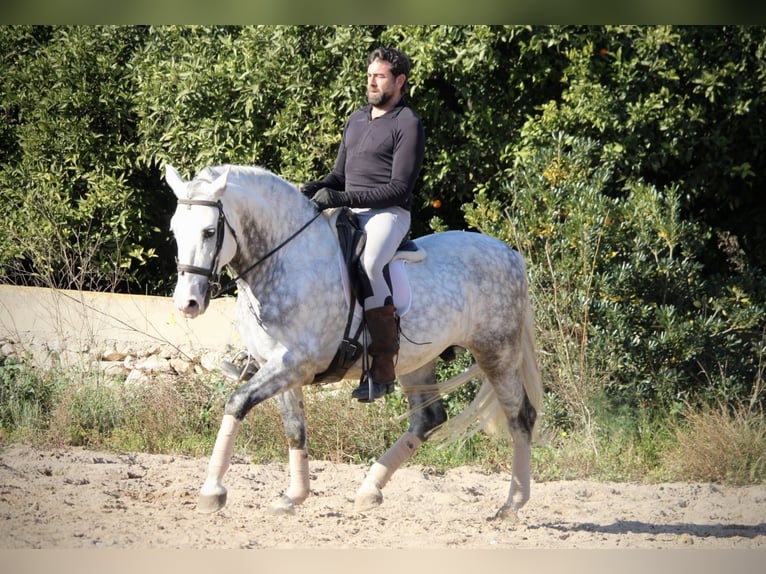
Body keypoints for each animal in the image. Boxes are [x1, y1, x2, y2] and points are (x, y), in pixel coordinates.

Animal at [167, 163, 544, 520]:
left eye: (209, 231)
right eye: (174, 231)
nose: (188, 303)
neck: (284, 262)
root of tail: (510, 253)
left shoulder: (296, 363)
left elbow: (237, 402)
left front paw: (212, 492)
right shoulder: (277, 366)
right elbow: (295, 429)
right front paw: (293, 497)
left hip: (497, 352)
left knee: (519, 417)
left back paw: (512, 506)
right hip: (417, 360)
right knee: (429, 418)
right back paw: (369, 490)